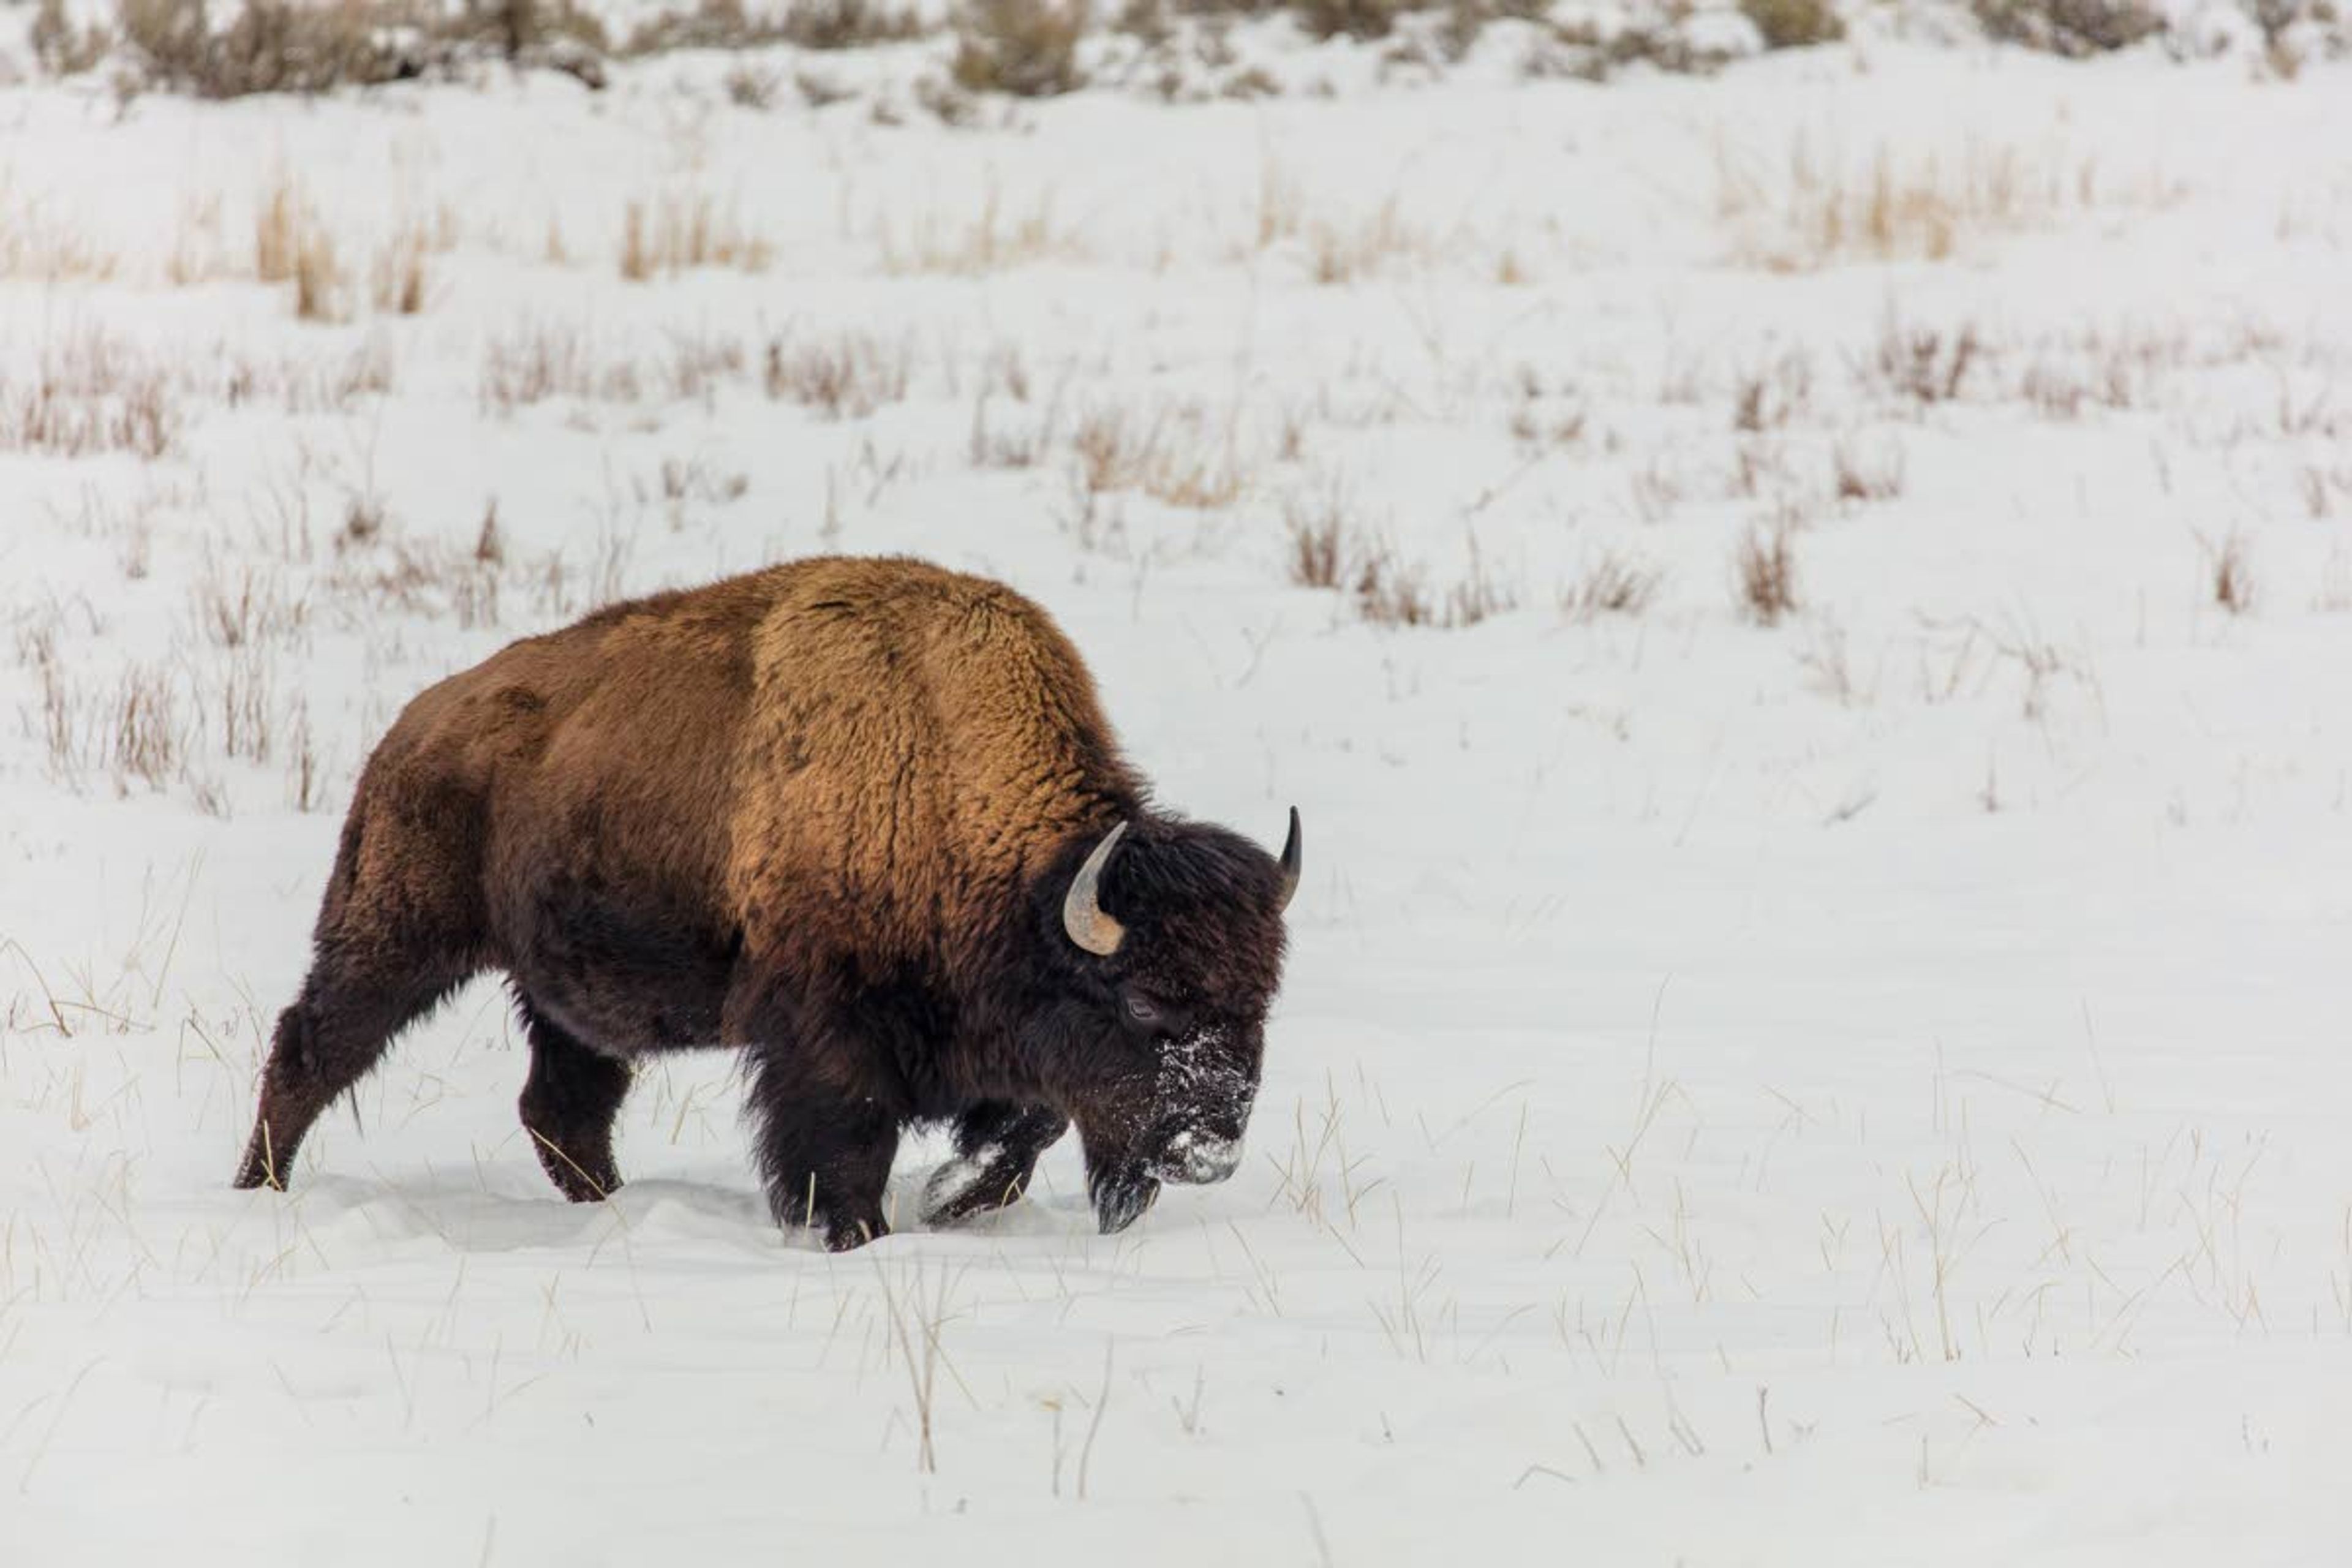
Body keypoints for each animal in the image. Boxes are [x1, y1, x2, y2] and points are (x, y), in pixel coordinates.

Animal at [234, 552, 1308, 1250]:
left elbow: (1029, 1125)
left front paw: (953, 1198)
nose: (1209, 1152)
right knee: (312, 1049)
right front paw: (859, 1230)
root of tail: (411, 730)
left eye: (1260, 1004)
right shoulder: (824, 1035)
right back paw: (259, 1188)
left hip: (563, 997)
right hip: (395, 938)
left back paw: (612, 1210)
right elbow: (850, 1142)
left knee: (562, 1107)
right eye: (1147, 1005)